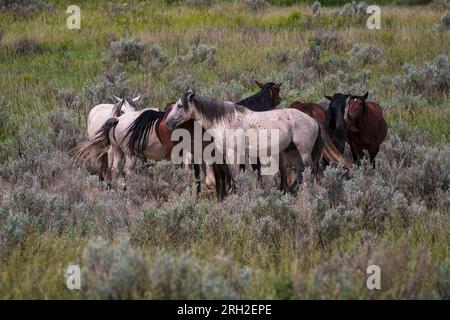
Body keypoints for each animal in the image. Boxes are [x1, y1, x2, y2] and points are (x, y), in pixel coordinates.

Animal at [167, 91, 346, 194]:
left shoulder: (233, 155)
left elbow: (234, 176)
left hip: (304, 153)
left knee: (310, 171)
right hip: (293, 152)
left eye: (180, 105)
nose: (168, 122)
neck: (226, 120)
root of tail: (313, 120)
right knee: (302, 173)